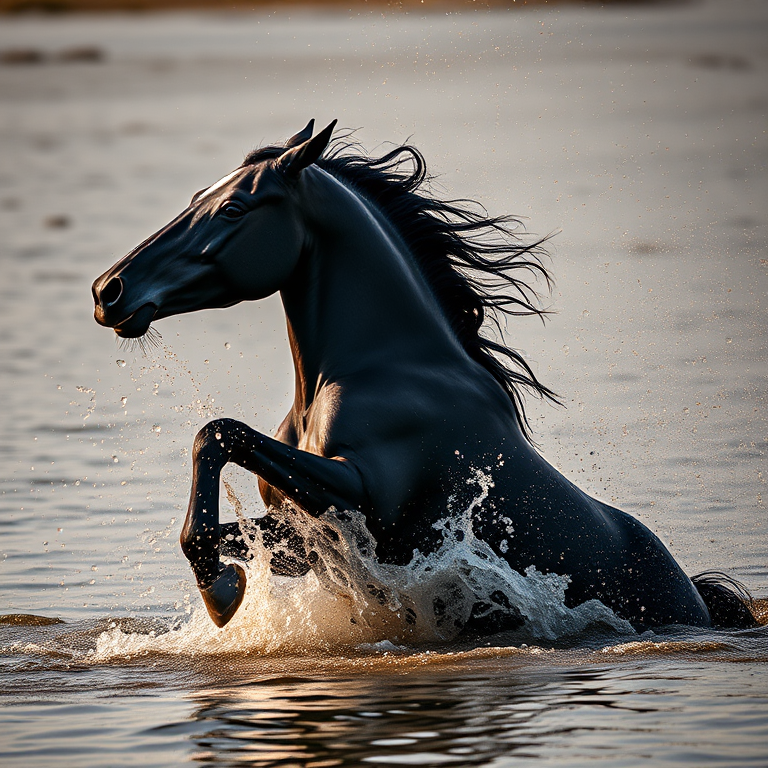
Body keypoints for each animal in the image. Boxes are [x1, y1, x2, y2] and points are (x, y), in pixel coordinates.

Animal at [92, 120, 754, 632]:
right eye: (197, 195)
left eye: (234, 207)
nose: (109, 291)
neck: (378, 368)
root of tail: (699, 598)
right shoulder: (304, 533)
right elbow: (214, 508)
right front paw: (225, 582)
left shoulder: (363, 496)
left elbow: (219, 432)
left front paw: (221, 594)